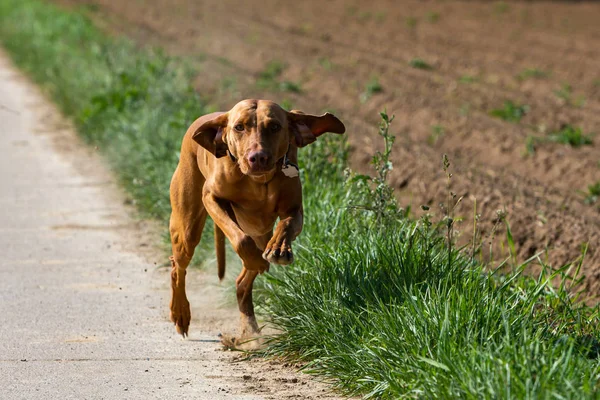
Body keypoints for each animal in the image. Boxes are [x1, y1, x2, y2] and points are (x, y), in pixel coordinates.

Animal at [169, 99, 346, 340]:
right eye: (239, 127)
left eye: (274, 127)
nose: (258, 157)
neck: (259, 182)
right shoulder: (211, 198)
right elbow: (240, 239)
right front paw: (256, 258)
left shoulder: (294, 210)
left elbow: (286, 225)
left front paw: (279, 249)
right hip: (187, 228)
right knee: (178, 268)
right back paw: (181, 313)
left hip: (261, 233)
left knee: (242, 282)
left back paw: (250, 331)